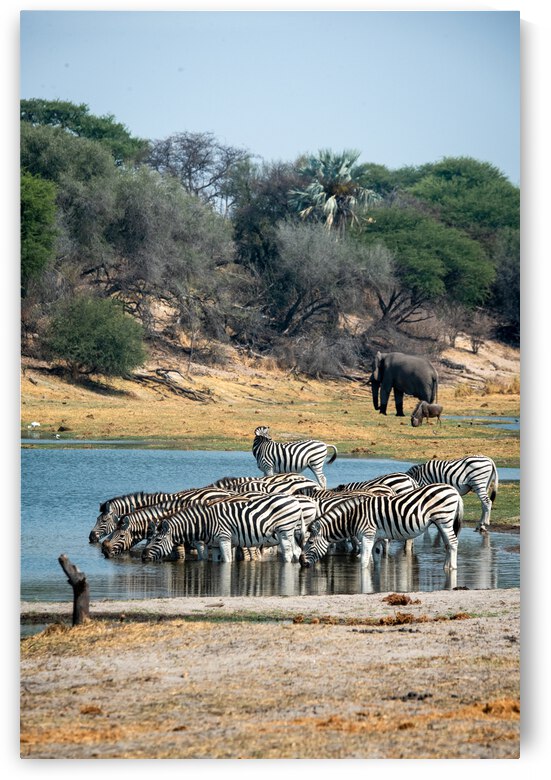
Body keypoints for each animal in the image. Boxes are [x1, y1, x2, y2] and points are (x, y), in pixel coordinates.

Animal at [142, 492, 305, 564]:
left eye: (157, 540)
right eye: (149, 538)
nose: (143, 556)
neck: (204, 523)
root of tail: (295, 501)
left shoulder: (224, 539)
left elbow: (227, 560)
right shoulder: (214, 545)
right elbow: (216, 562)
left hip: (284, 531)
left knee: (288, 553)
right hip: (290, 533)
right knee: (296, 551)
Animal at [299, 483, 464, 571]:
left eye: (310, 542)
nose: (301, 563)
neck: (353, 518)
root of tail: (453, 490)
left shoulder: (367, 535)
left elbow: (364, 560)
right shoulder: (377, 538)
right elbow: (376, 559)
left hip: (444, 519)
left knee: (453, 543)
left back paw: (453, 567)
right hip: (441, 522)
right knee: (448, 544)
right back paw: (446, 567)